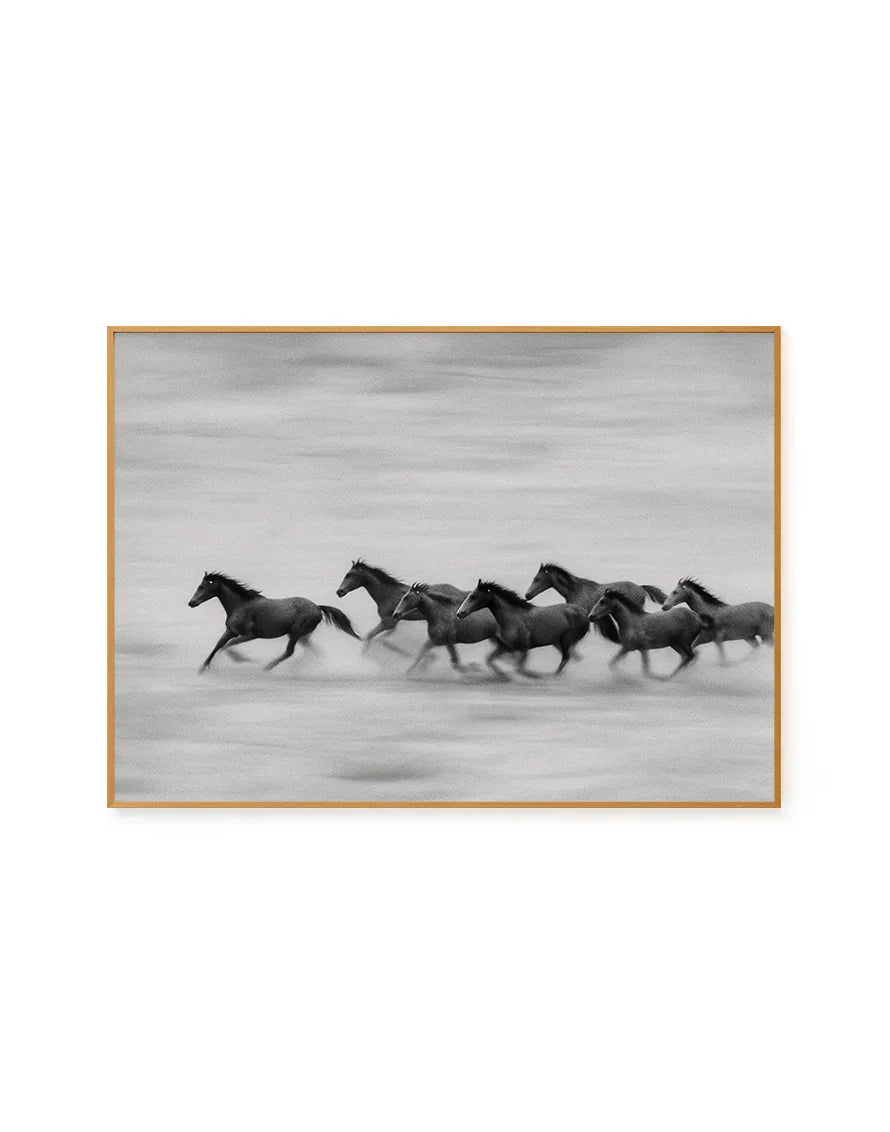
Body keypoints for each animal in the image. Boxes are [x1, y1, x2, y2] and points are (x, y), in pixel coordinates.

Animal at [188, 571, 361, 672]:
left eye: (201, 586)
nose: (191, 603)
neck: (240, 605)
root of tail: (318, 608)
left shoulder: (250, 635)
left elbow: (228, 646)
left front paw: (244, 659)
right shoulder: (230, 631)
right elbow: (219, 645)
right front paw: (203, 668)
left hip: (296, 632)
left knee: (289, 652)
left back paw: (268, 667)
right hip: (302, 636)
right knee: (314, 651)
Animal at [456, 580, 590, 678]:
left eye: (474, 596)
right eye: (469, 595)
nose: (459, 613)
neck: (513, 618)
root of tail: (584, 613)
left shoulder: (524, 648)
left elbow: (520, 668)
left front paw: (535, 676)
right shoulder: (507, 647)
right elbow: (490, 659)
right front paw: (503, 675)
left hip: (566, 640)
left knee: (566, 658)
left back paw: (553, 676)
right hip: (559, 641)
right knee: (568, 658)